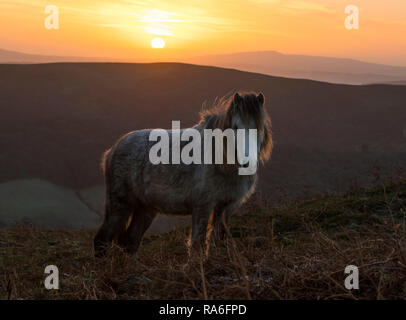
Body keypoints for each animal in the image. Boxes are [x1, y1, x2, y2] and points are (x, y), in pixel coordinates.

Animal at [93, 91, 274, 258]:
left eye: (258, 127)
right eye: (235, 127)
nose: (247, 162)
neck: (221, 161)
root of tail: (113, 149)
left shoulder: (225, 208)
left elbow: (217, 239)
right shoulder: (203, 207)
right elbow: (198, 244)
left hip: (145, 208)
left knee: (130, 240)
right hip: (120, 206)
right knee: (103, 239)